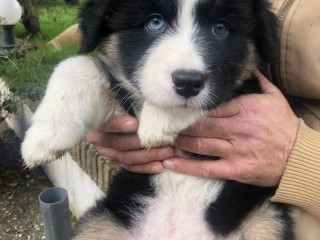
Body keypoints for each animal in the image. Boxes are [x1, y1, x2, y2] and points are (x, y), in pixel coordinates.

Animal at [22, 0, 298, 239]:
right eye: (155, 23)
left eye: (220, 28)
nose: (188, 82)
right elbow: (78, 65)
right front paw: (42, 139)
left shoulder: (250, 86)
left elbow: (220, 92)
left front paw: (158, 120)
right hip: (99, 223)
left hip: (266, 221)